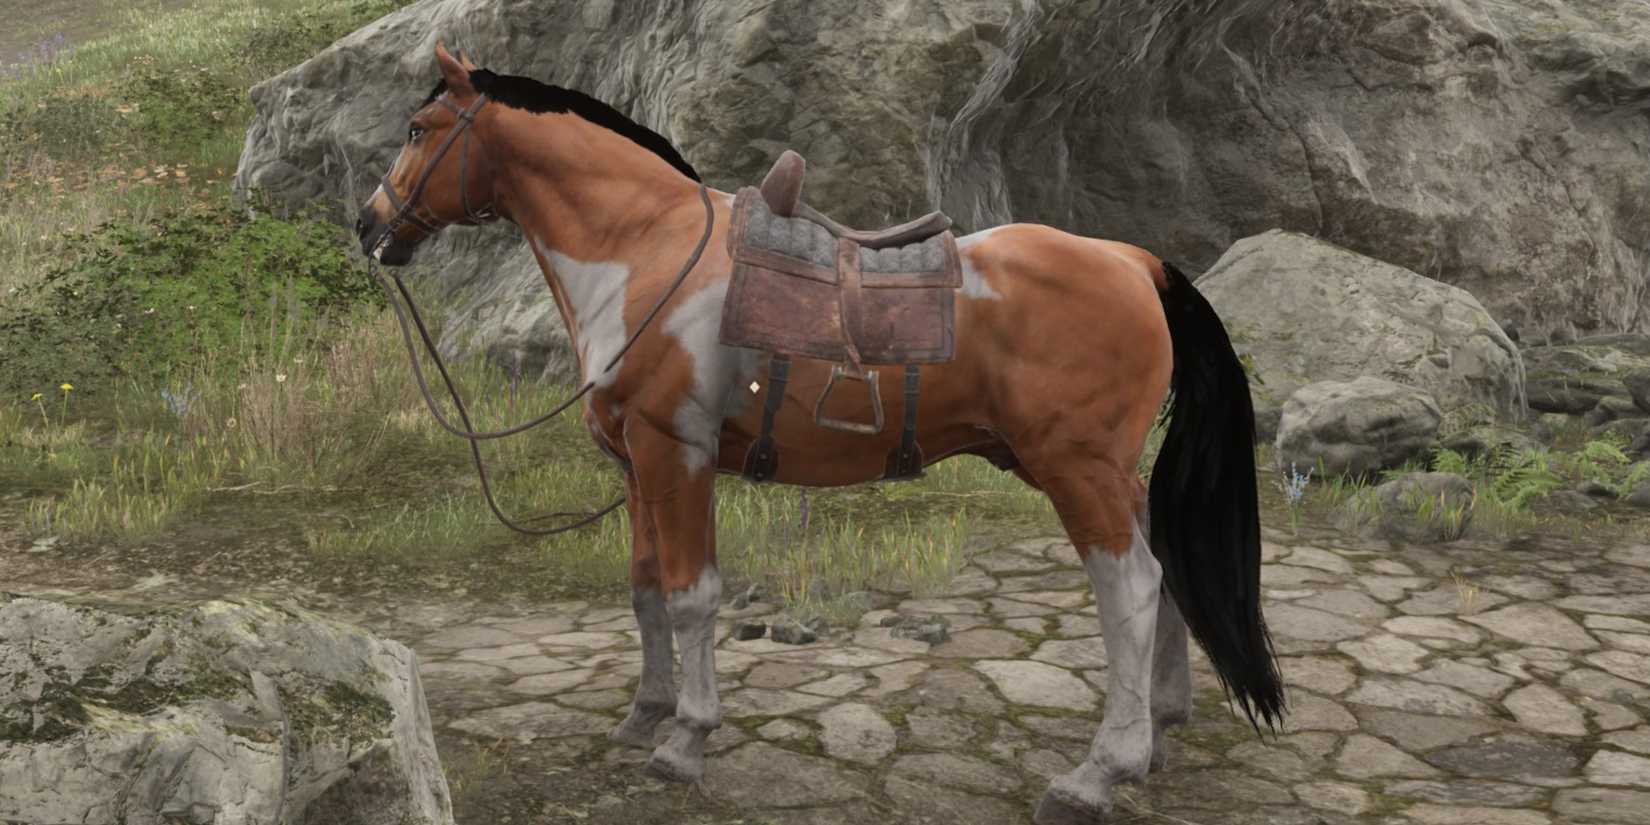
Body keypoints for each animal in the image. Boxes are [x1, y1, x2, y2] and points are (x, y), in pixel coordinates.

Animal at [355, 42, 1286, 824]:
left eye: (417, 130)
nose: (369, 225)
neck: (644, 251)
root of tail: (1136, 262)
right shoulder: (636, 466)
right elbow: (646, 587)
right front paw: (644, 712)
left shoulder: (677, 453)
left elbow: (691, 594)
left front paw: (685, 739)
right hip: (1103, 473)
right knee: (1166, 569)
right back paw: (1156, 730)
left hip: (1077, 469)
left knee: (1129, 585)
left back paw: (1098, 771)